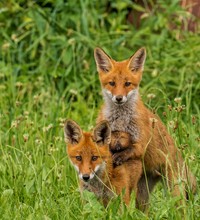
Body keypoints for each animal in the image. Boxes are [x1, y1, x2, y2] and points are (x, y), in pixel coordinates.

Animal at [94, 46, 196, 210]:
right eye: (112, 83)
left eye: (127, 84)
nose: (119, 98)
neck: (121, 120)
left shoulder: (141, 142)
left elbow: (133, 149)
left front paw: (119, 156)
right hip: (142, 195)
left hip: (174, 191)